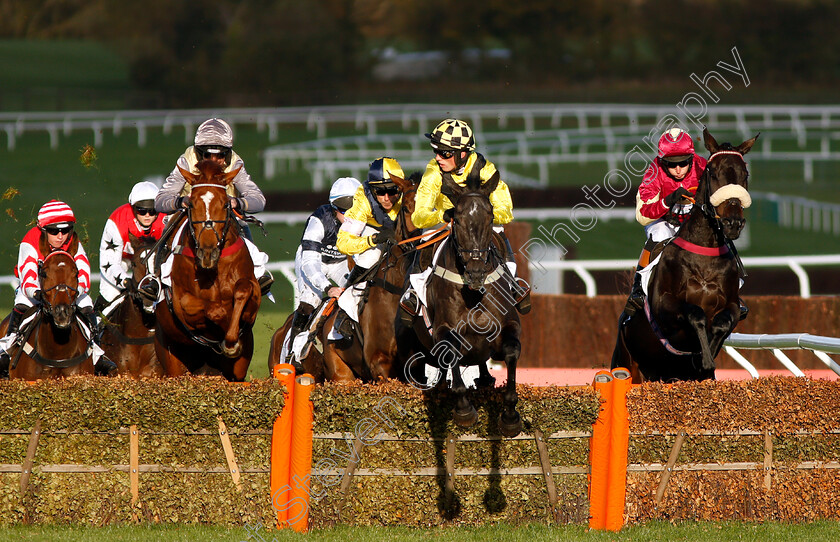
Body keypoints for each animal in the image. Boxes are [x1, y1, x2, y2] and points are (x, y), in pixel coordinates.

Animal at [154, 160, 260, 382]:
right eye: (192, 204)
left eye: (225, 203)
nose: (207, 252)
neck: (212, 270)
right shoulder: (182, 302)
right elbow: (215, 310)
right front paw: (228, 338)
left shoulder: (253, 295)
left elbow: (243, 290)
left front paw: (232, 337)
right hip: (171, 357)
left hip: (238, 371)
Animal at [612, 128, 760, 384]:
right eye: (713, 172)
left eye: (745, 173)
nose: (733, 223)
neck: (705, 254)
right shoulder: (663, 304)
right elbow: (695, 313)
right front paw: (703, 355)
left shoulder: (732, 305)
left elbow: (722, 323)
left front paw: (705, 355)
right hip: (628, 364)